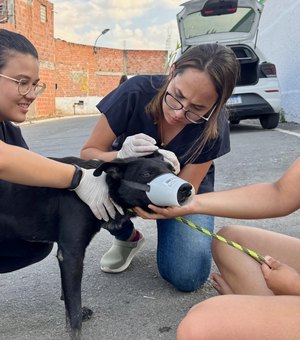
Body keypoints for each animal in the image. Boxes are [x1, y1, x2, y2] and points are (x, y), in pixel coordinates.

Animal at [0, 154, 192, 340]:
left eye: (172, 170)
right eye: (146, 174)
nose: (186, 188)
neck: (105, 186)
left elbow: (68, 298)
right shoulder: (71, 254)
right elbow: (74, 306)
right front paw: (75, 332)